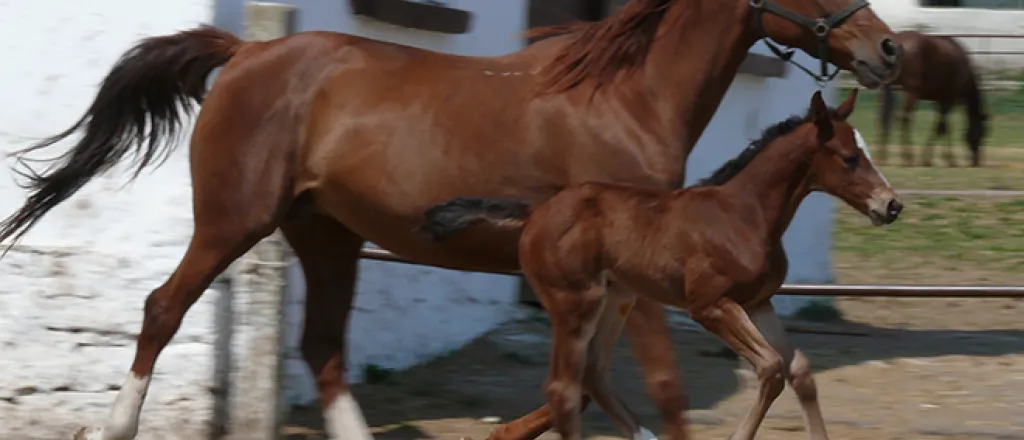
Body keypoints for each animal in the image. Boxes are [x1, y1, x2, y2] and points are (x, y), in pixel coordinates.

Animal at [419, 87, 901, 440]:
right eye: (849, 158)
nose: (891, 205)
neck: (745, 215)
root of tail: (536, 212)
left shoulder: (759, 302)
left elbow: (799, 370)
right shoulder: (709, 305)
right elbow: (770, 369)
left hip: (617, 299)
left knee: (592, 375)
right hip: (575, 301)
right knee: (562, 390)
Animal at [876, 29, 987, 166]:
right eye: (982, 132)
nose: (976, 161)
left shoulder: (939, 101)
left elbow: (942, 127)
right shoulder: (948, 100)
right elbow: (942, 127)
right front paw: (946, 159)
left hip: (887, 89)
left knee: (884, 117)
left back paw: (881, 157)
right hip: (911, 92)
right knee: (904, 118)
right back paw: (907, 157)